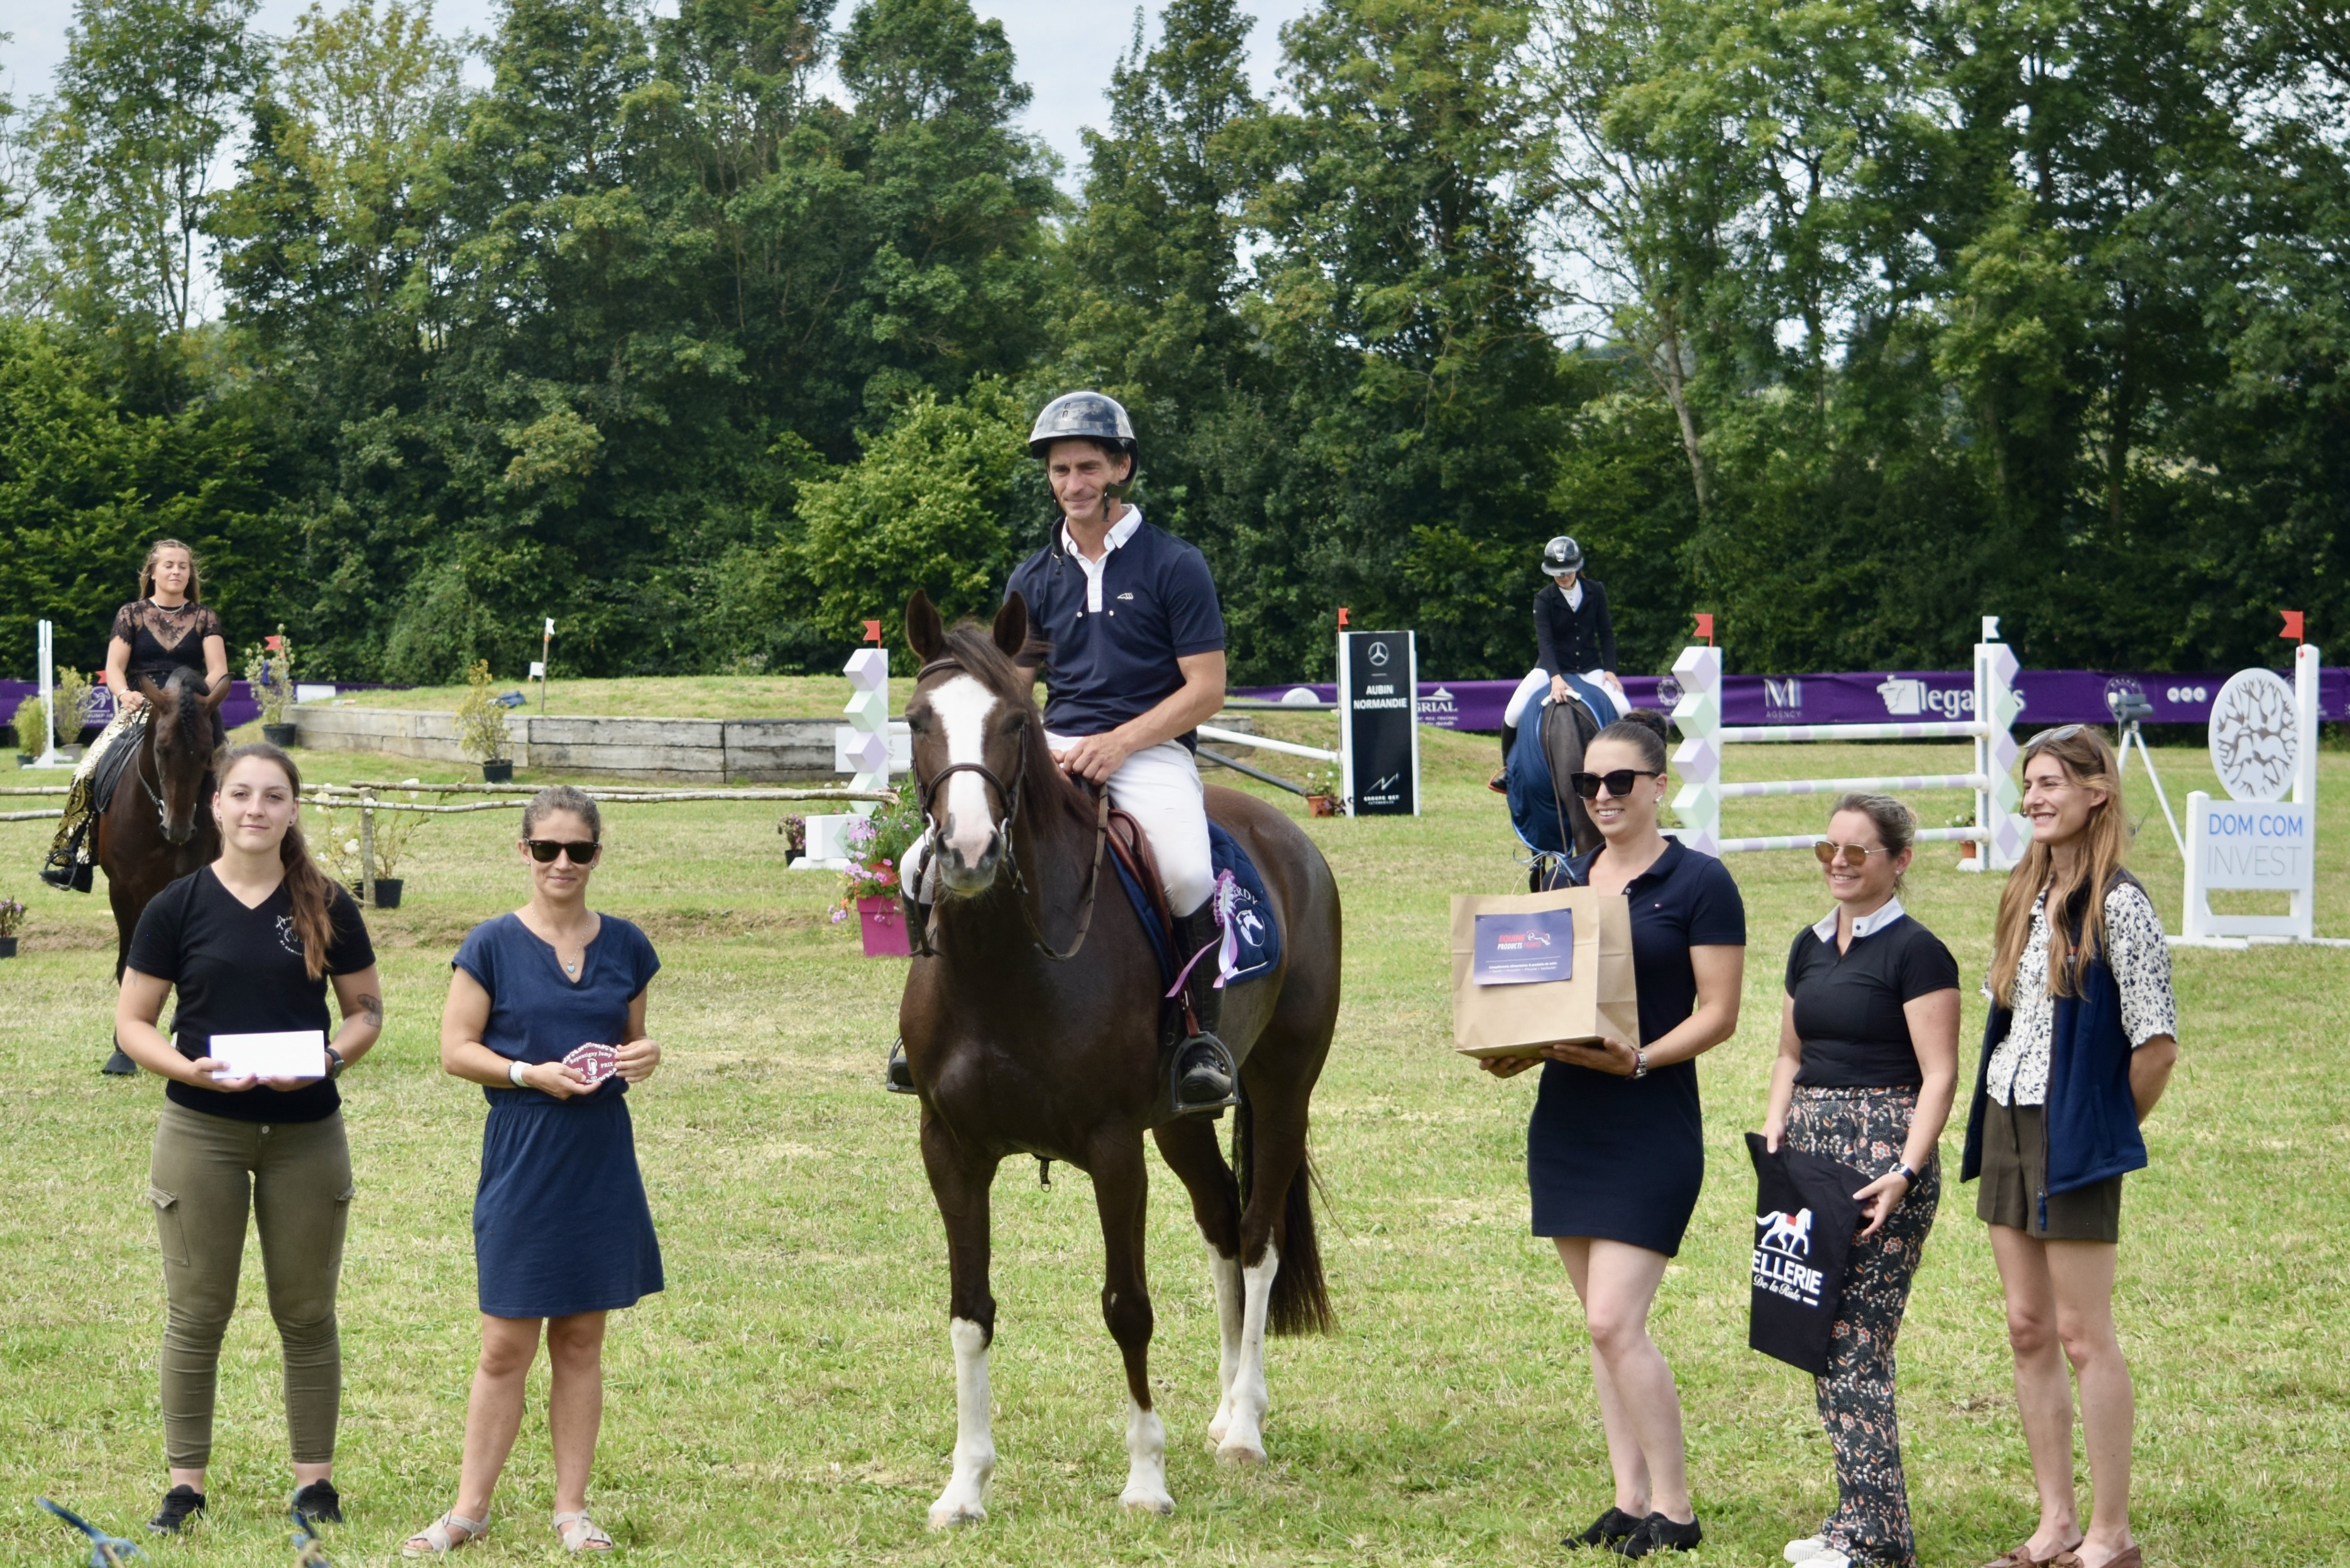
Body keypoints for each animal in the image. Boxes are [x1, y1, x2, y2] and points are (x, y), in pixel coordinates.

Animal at [95, 671, 226, 1072]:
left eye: (206, 754)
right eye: (161, 751)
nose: (179, 829)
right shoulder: (122, 893)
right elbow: (129, 965)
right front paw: (122, 1051)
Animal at [897, 589, 1341, 1526]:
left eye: (1014, 723)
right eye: (917, 719)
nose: (967, 851)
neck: (1005, 960)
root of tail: (1286, 833)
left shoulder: (1111, 1147)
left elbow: (1126, 1307)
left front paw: (1144, 1477)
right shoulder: (949, 1147)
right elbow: (969, 1310)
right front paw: (964, 1483)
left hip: (1283, 1090)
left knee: (1256, 1238)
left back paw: (1245, 1424)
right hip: (1181, 1122)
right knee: (1219, 1220)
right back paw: (1220, 1410)